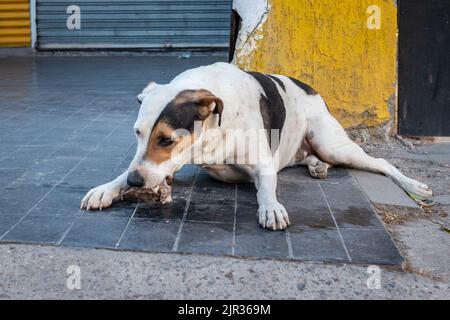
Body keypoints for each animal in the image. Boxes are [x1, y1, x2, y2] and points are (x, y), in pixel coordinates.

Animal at [81, 62, 432, 230]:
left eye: (166, 140)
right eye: (137, 134)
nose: (135, 182)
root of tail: (312, 88)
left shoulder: (262, 166)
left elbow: (266, 188)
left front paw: (271, 207)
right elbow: (132, 168)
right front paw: (107, 188)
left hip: (331, 142)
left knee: (381, 163)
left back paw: (412, 185)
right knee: (308, 158)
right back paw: (316, 165)